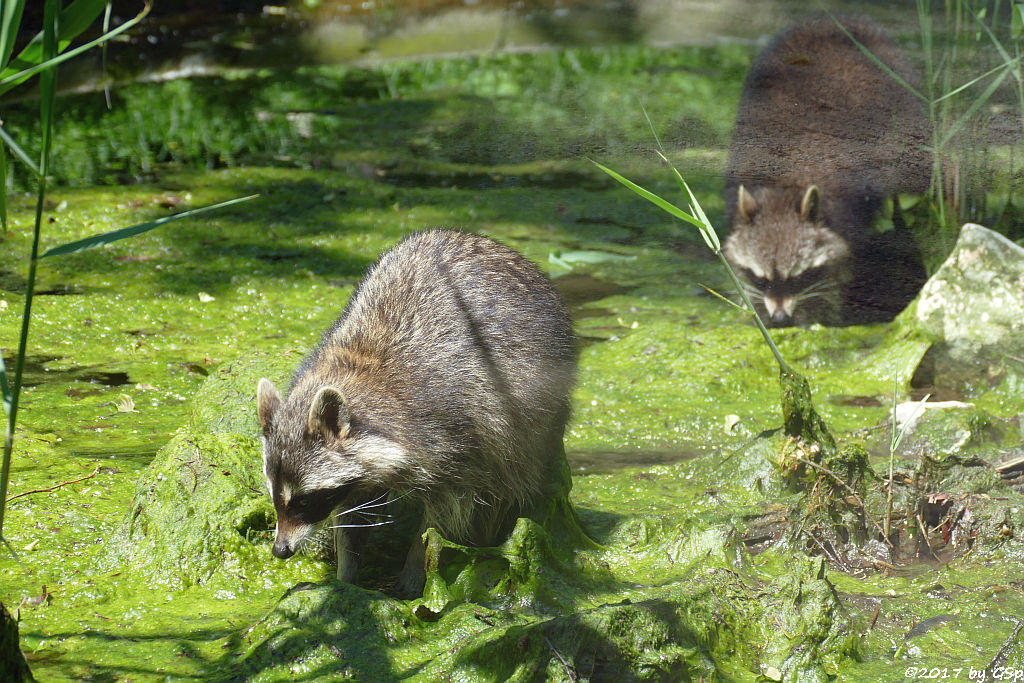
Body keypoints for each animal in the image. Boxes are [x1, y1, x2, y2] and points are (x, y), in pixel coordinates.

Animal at [254, 228, 577, 593]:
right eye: (275, 496)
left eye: (305, 501)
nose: (281, 550)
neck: (355, 371)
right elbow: (351, 516)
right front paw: (346, 575)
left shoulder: (460, 435)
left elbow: (444, 516)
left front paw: (412, 572)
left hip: (535, 405)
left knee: (511, 475)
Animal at [724, 15, 933, 325]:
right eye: (762, 279)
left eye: (798, 277)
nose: (780, 318)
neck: (782, 188)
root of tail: (832, 20)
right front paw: (753, 306)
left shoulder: (850, 200)